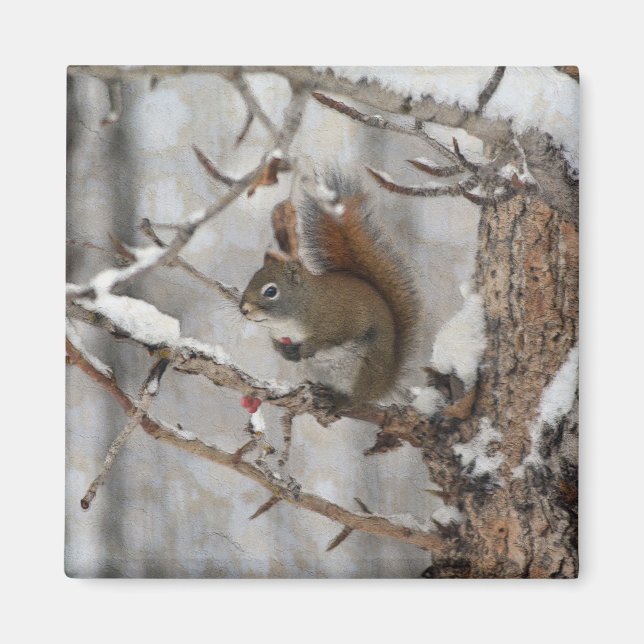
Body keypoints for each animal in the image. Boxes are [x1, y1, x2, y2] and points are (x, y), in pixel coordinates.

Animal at [240, 174, 419, 409]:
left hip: (364, 372)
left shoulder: (340, 317)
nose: (244, 309)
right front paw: (285, 351)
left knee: (356, 400)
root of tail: (384, 384)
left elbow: (334, 337)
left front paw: (309, 347)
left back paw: (340, 401)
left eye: (270, 291)